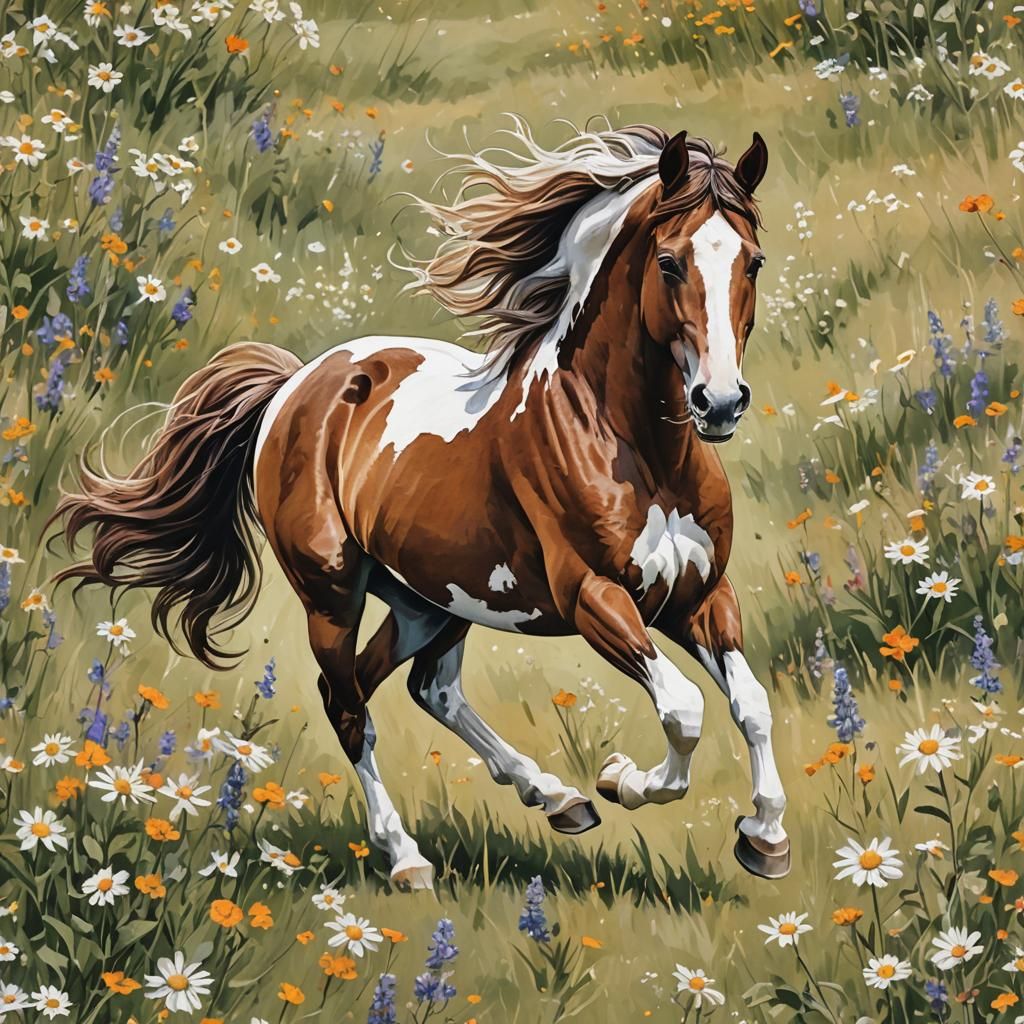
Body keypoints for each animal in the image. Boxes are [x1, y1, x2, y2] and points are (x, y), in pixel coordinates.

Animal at [54, 120, 790, 889]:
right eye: (671, 263)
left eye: (754, 262)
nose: (720, 403)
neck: (638, 449)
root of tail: (295, 385)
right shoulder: (595, 597)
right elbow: (684, 708)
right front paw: (624, 779)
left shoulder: (700, 595)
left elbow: (751, 705)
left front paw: (764, 838)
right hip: (333, 594)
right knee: (348, 704)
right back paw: (407, 857)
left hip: (431, 599)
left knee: (424, 688)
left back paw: (557, 799)